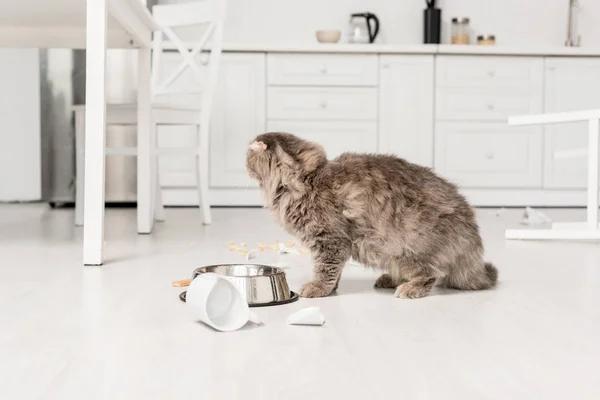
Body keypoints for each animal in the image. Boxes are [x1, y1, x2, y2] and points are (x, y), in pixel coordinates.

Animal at [245, 133, 496, 298]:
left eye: (249, 156)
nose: (244, 160)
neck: (304, 183)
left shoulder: (330, 240)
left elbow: (325, 269)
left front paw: (318, 287)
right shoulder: (336, 245)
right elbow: (335, 271)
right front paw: (332, 289)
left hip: (408, 250)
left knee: (431, 274)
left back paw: (409, 288)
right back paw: (390, 279)